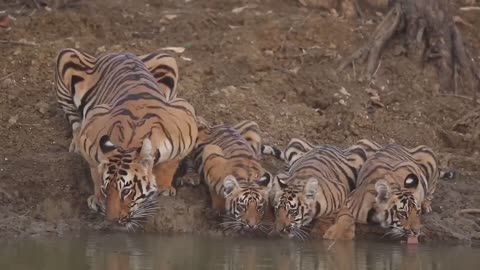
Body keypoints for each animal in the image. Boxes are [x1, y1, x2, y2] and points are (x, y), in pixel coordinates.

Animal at [55, 48, 198, 230]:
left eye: (126, 191)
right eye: (106, 190)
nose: (111, 220)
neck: (130, 141)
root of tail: (119, 52)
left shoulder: (186, 119)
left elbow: (170, 164)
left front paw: (164, 188)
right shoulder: (92, 129)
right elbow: (95, 171)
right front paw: (97, 198)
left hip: (168, 59)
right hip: (66, 56)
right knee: (75, 121)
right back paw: (75, 144)